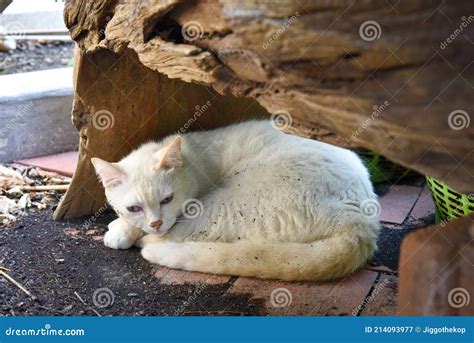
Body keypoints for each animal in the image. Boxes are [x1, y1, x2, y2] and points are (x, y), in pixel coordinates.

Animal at [91, 121, 382, 282]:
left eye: (168, 199)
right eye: (134, 208)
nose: (156, 222)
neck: (191, 158)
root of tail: (361, 222)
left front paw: (120, 230)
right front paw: (124, 223)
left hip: (221, 204)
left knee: (178, 236)